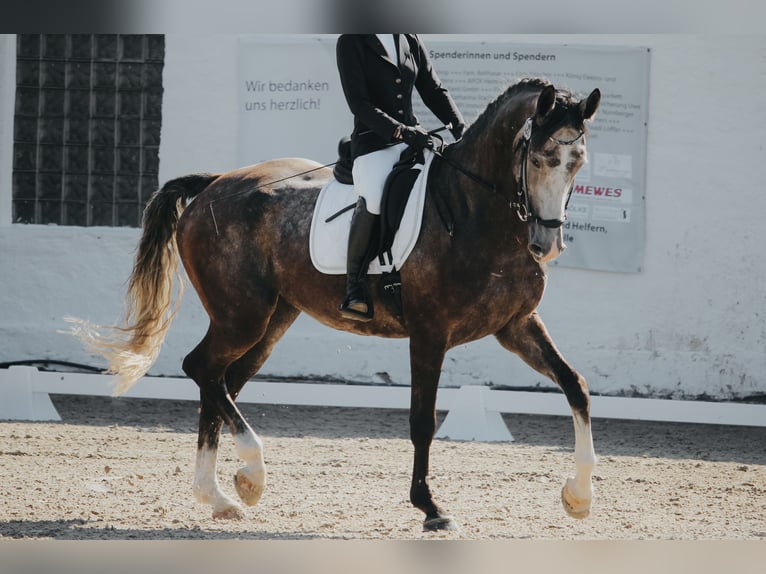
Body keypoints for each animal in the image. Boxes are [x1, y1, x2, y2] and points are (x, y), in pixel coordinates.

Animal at [70, 77, 600, 536]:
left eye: (578, 162)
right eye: (540, 158)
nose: (547, 245)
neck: (474, 213)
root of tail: (216, 183)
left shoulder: (516, 325)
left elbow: (575, 385)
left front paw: (578, 498)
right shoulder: (430, 333)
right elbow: (422, 421)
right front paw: (430, 508)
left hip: (271, 320)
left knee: (220, 382)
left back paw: (220, 495)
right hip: (241, 316)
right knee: (202, 369)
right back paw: (250, 476)